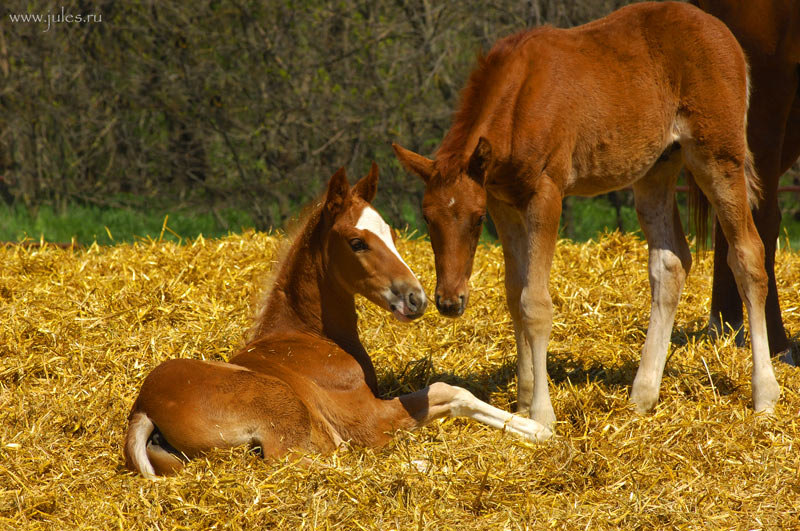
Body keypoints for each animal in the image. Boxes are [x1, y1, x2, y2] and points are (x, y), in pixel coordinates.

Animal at [125, 164, 552, 480]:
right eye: (357, 242)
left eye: (391, 233)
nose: (416, 298)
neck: (305, 337)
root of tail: (144, 410)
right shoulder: (367, 419)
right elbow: (451, 392)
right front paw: (541, 429)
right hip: (284, 413)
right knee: (310, 463)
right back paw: (423, 465)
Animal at [394, 1, 780, 428]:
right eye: (428, 218)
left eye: (476, 219)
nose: (449, 302)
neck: (521, 97)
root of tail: (722, 33)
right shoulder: (503, 201)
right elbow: (514, 294)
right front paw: (521, 404)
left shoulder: (545, 194)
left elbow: (535, 303)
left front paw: (541, 414)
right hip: (657, 169)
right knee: (670, 264)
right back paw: (641, 396)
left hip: (718, 156)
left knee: (748, 255)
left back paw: (765, 394)